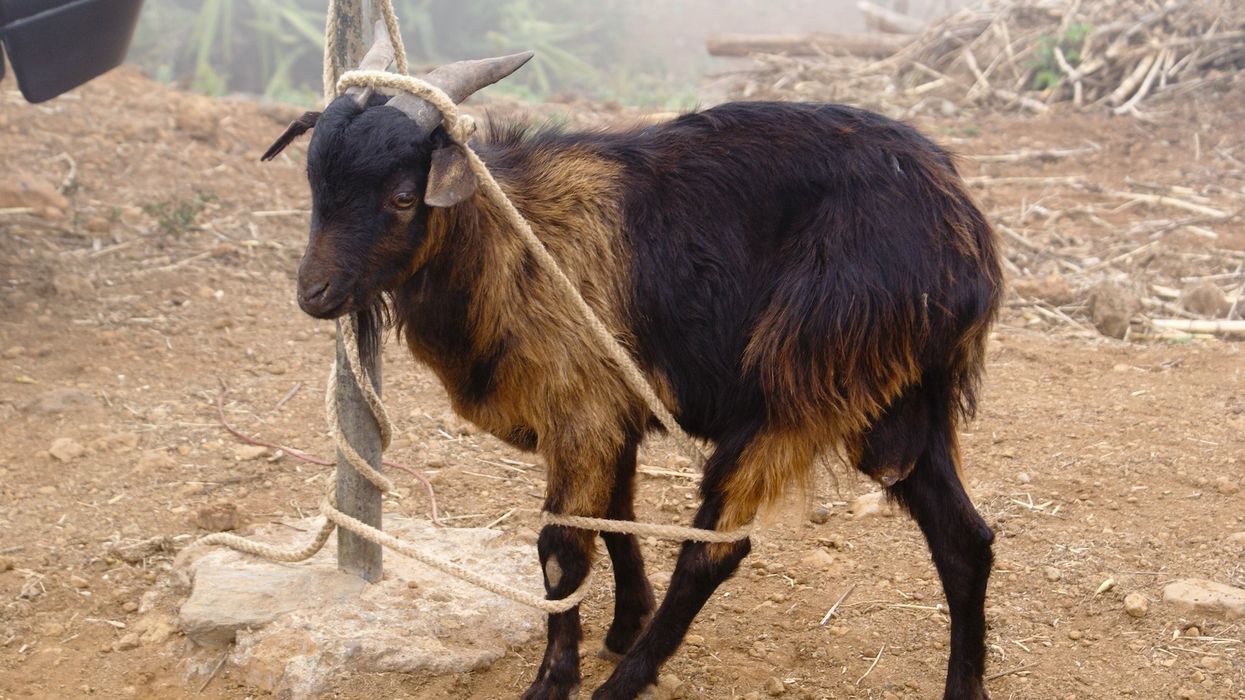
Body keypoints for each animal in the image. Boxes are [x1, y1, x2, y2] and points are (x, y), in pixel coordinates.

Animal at [263, 28, 1002, 700]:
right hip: (896, 405)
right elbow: (614, 517)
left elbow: (561, 550)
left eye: (402, 196)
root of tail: (964, 233)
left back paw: (623, 684)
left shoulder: (581, 408)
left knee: (714, 548)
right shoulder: (612, 410)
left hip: (797, 380)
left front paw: (553, 680)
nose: (314, 293)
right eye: (315, 183)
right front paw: (623, 623)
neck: (512, 244)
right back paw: (962, 687)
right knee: (964, 540)